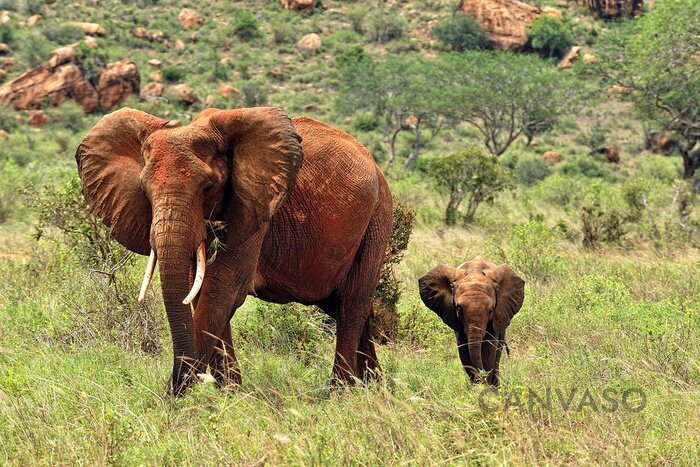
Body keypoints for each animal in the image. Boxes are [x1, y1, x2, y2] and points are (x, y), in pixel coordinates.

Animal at [78, 107, 394, 394]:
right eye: (144, 191)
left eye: (208, 187)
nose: (182, 387)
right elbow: (200, 292)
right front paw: (229, 392)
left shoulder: (255, 208)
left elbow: (222, 290)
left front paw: (180, 400)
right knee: (344, 305)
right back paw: (375, 386)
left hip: (377, 218)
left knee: (352, 303)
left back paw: (342, 392)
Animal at [418, 258, 524, 386]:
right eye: (458, 309)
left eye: (491, 310)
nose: (483, 378)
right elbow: (463, 350)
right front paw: (477, 387)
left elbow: (489, 348)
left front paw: (487, 387)